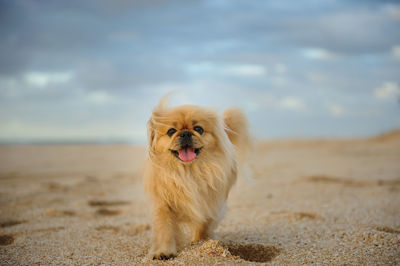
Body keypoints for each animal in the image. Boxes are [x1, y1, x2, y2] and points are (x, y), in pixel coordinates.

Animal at [144, 96, 250, 260]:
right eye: (171, 131)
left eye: (199, 129)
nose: (186, 133)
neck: (189, 172)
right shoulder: (163, 203)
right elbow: (164, 227)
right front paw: (163, 251)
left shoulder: (210, 202)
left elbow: (204, 224)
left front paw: (200, 242)